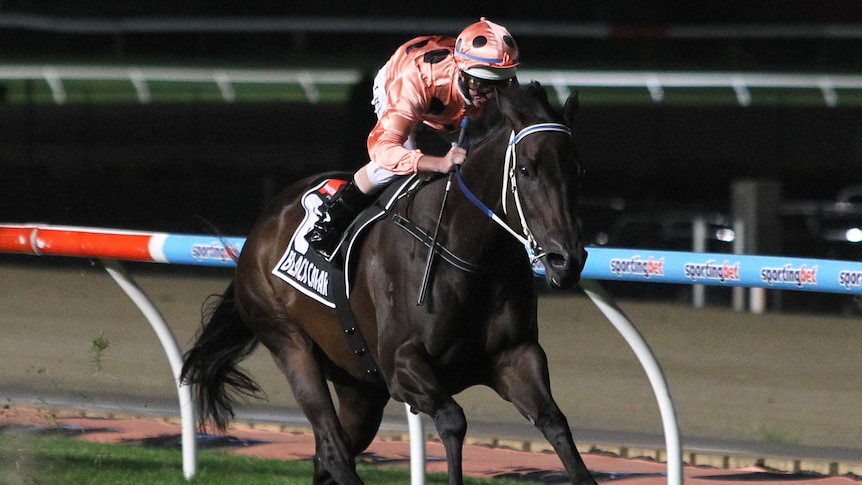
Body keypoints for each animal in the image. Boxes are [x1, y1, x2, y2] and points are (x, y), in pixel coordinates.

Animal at [181, 81, 600, 482]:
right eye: (527, 169)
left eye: (579, 170)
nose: (567, 260)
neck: (469, 251)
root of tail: (260, 229)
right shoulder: (401, 365)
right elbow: (453, 421)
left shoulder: (516, 356)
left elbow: (555, 423)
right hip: (288, 342)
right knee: (332, 447)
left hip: (359, 385)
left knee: (328, 456)